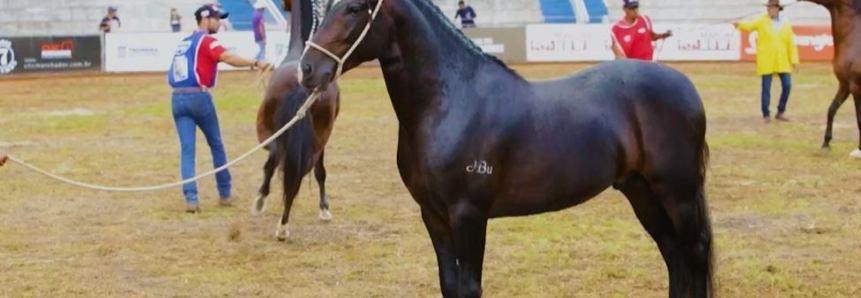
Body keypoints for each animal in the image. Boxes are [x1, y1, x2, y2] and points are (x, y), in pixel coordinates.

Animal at [252, 0, 340, 240]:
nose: (285, 6)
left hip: (267, 131)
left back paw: (270, 210)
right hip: (316, 138)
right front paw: (324, 209)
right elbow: (320, 172)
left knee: (276, 160)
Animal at [298, 0, 716, 298]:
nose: (307, 69)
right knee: (673, 254)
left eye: (354, 8)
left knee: (693, 253)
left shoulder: (469, 214)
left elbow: (469, 287)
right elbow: (449, 284)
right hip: (640, 190)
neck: (450, 100)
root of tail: (685, 86)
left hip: (677, 193)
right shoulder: (432, 215)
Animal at [804, 0, 860, 158]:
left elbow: (859, 119)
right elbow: (832, 109)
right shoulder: (845, 85)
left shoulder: (856, 87)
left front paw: (859, 150)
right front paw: (826, 144)